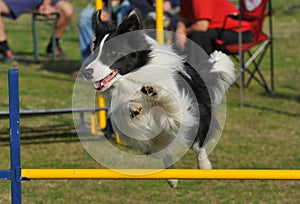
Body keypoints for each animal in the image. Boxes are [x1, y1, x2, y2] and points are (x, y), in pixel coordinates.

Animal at [81, 10, 236, 187]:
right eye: (94, 51)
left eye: (112, 53)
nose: (86, 72)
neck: (133, 76)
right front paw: (135, 106)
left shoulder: (181, 109)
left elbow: (170, 107)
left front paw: (154, 94)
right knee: (164, 150)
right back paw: (172, 177)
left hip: (198, 120)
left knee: (198, 144)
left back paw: (204, 166)